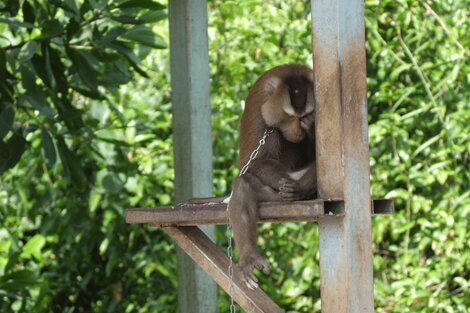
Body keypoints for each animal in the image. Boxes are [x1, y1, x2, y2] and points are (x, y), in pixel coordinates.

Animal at [227, 64, 316, 290]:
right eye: (290, 117)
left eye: (304, 116)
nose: (298, 130)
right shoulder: (258, 106)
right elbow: (254, 162)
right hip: (271, 196)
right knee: (244, 184)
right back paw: (250, 258)